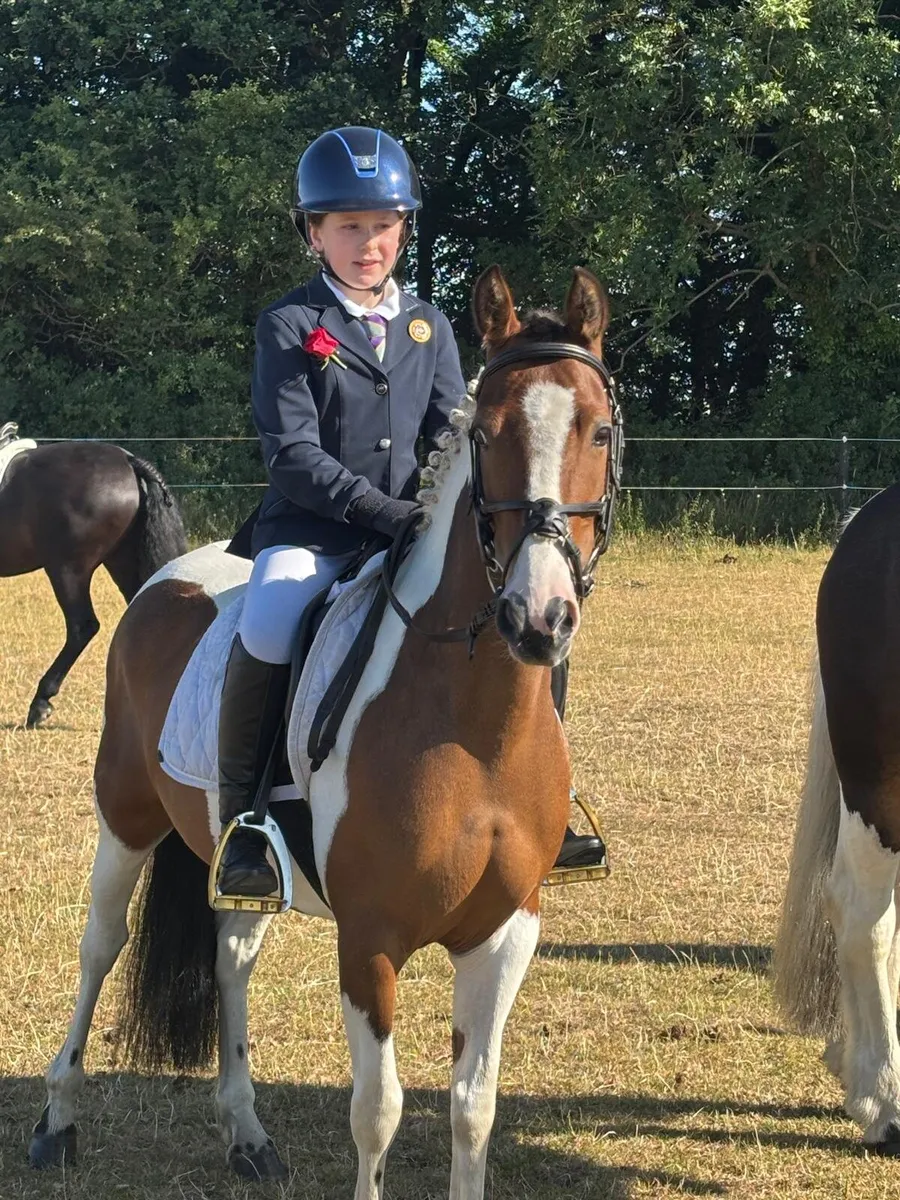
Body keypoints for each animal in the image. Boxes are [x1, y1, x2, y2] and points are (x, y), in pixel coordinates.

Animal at [28, 264, 623, 1197]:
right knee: (100, 945)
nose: (538, 618)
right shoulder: (370, 938)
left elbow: (473, 1110)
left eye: (598, 430)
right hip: (124, 816)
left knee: (232, 956)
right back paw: (57, 1120)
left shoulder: (505, 933)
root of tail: (169, 577)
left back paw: (246, 1134)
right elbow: (377, 1112)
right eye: (486, 434)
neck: (473, 727)